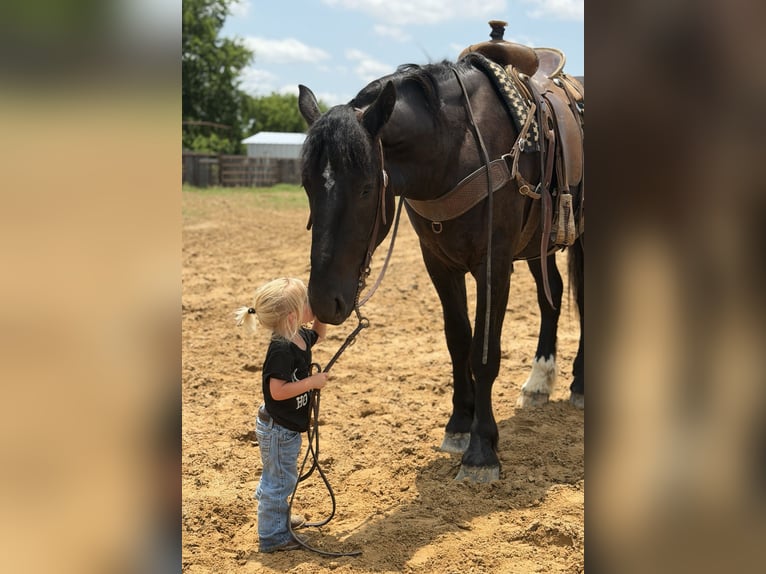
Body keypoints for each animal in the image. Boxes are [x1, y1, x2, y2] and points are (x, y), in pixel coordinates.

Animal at [298, 53, 584, 482]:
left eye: (366, 188)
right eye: (307, 185)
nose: (323, 300)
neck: (457, 148)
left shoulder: (494, 264)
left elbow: (484, 353)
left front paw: (482, 449)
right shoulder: (439, 263)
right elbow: (457, 341)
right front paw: (460, 426)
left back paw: (580, 382)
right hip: (540, 244)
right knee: (552, 297)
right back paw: (539, 382)